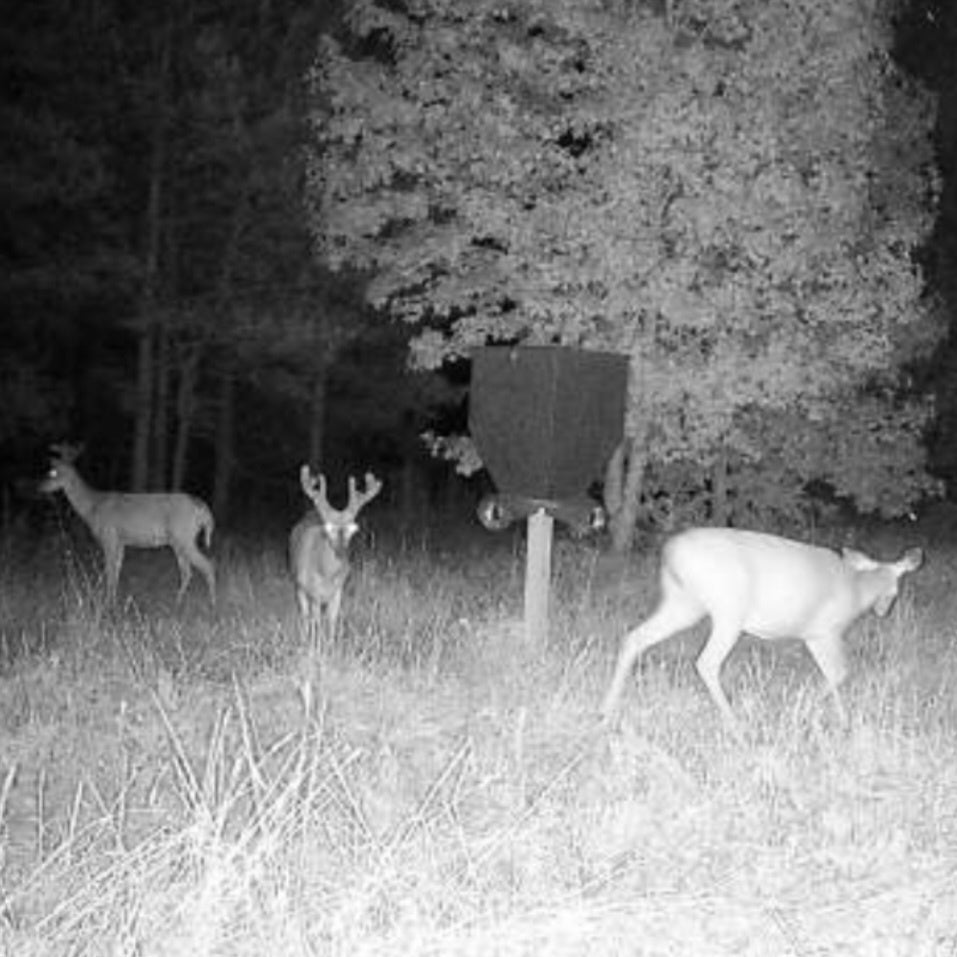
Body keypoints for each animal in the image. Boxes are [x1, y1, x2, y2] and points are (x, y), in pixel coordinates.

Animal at [41, 443, 216, 606]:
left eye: (53, 472)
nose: (39, 487)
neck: (92, 507)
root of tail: (202, 508)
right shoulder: (120, 541)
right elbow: (117, 570)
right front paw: (113, 599)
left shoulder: (109, 536)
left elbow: (109, 571)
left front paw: (107, 603)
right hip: (179, 541)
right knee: (187, 572)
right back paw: (177, 602)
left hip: (183, 537)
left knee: (208, 566)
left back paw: (212, 603)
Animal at [289, 464, 383, 657]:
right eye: (329, 530)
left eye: (350, 531)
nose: (341, 554)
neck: (327, 575)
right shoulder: (313, 592)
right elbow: (316, 620)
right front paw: (315, 649)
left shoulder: (338, 590)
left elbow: (332, 620)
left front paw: (331, 649)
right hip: (298, 584)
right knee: (305, 616)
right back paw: (304, 640)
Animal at [600, 527, 923, 738]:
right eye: (897, 591)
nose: (884, 611)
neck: (858, 591)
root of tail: (669, 552)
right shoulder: (824, 631)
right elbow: (840, 672)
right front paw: (804, 712)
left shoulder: (815, 635)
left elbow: (835, 674)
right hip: (728, 609)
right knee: (706, 662)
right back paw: (736, 725)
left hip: (684, 603)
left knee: (634, 637)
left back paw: (606, 710)